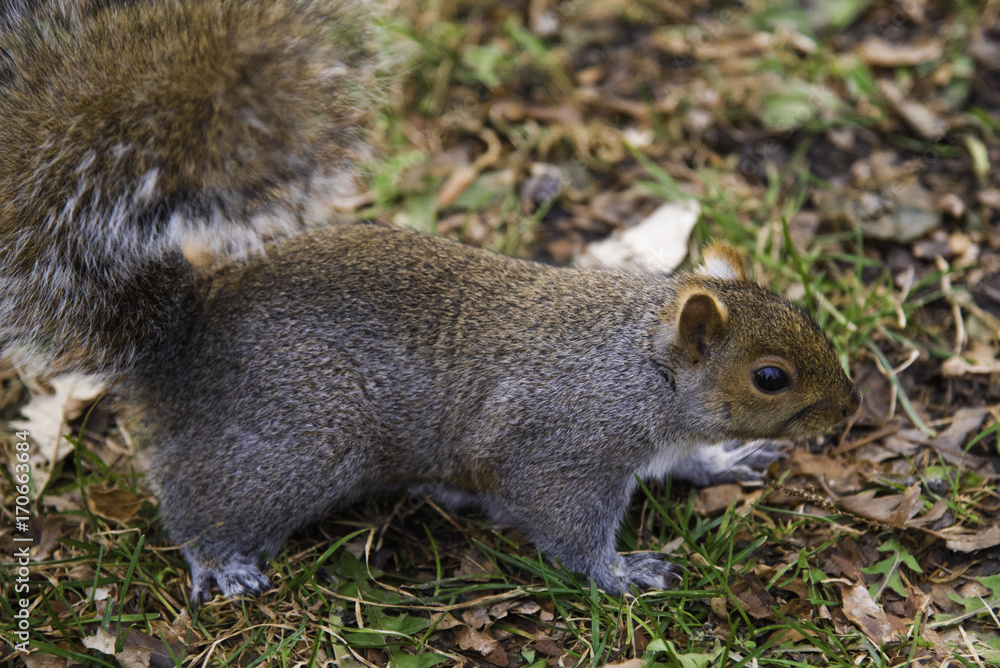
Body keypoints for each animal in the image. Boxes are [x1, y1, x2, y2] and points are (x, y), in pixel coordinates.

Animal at [1, 0, 861, 606]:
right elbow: (562, 522)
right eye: (771, 378)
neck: (641, 366)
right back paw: (221, 560)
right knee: (199, 503)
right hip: (294, 447)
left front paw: (726, 459)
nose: (849, 409)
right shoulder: (559, 445)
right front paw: (621, 572)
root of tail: (178, 342)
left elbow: (685, 459)